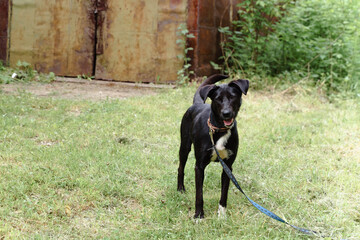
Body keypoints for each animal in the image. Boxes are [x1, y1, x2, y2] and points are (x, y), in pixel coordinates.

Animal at [176, 74, 248, 218]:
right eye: (218, 99)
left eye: (233, 97)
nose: (226, 113)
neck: (220, 129)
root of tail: (198, 104)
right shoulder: (199, 166)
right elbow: (199, 195)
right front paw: (198, 215)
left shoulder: (228, 167)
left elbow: (224, 194)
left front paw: (222, 215)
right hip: (184, 146)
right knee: (180, 168)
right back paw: (180, 189)